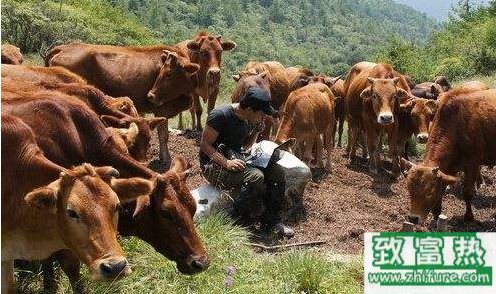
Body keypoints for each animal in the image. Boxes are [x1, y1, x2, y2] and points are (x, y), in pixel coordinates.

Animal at [45, 42, 201, 165]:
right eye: (162, 72)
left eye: (169, 74)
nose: (150, 96)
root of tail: (64, 47)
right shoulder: (161, 108)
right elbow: (163, 136)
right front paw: (166, 159)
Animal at [402, 89, 494, 223]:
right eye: (410, 191)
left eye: (429, 192)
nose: (413, 218)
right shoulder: (448, 168)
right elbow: (442, 189)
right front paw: (436, 214)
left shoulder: (472, 164)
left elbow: (467, 193)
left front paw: (469, 216)